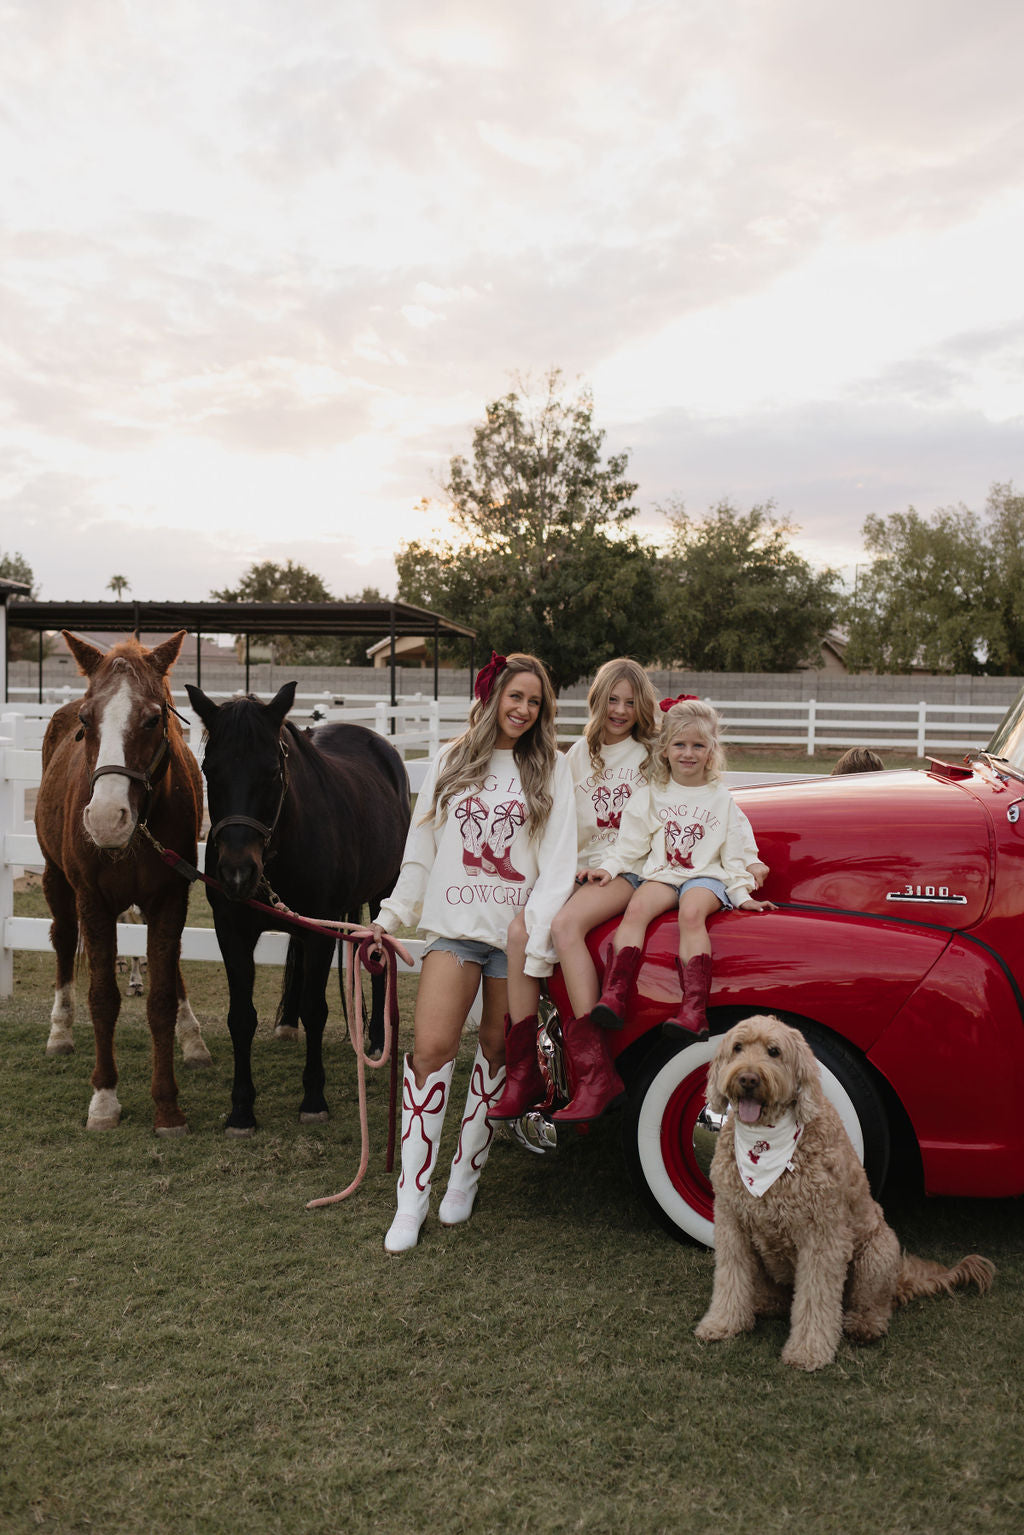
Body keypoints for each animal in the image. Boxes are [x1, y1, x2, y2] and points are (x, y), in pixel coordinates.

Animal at [35, 629, 211, 1135]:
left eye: (153, 719)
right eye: (86, 720)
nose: (106, 819)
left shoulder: (171, 898)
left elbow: (161, 998)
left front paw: (167, 1106)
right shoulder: (92, 902)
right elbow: (102, 998)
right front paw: (104, 1099)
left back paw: (192, 1039)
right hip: (55, 880)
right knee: (62, 938)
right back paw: (60, 1030)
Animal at [186, 681, 411, 1129]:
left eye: (272, 771)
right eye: (209, 770)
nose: (237, 872)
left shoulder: (318, 930)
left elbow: (316, 1008)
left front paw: (313, 1098)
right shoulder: (231, 929)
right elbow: (241, 1016)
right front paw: (242, 1109)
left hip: (382, 892)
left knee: (378, 960)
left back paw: (377, 1041)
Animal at [696, 1013, 994, 1375]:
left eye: (774, 1051)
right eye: (738, 1047)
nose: (748, 1078)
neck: (766, 1147)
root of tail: (901, 1277)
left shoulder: (822, 1236)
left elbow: (816, 1298)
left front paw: (808, 1351)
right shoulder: (731, 1224)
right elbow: (730, 1279)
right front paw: (723, 1324)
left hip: (877, 1253)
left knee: (875, 1305)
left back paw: (863, 1325)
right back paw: (765, 1302)